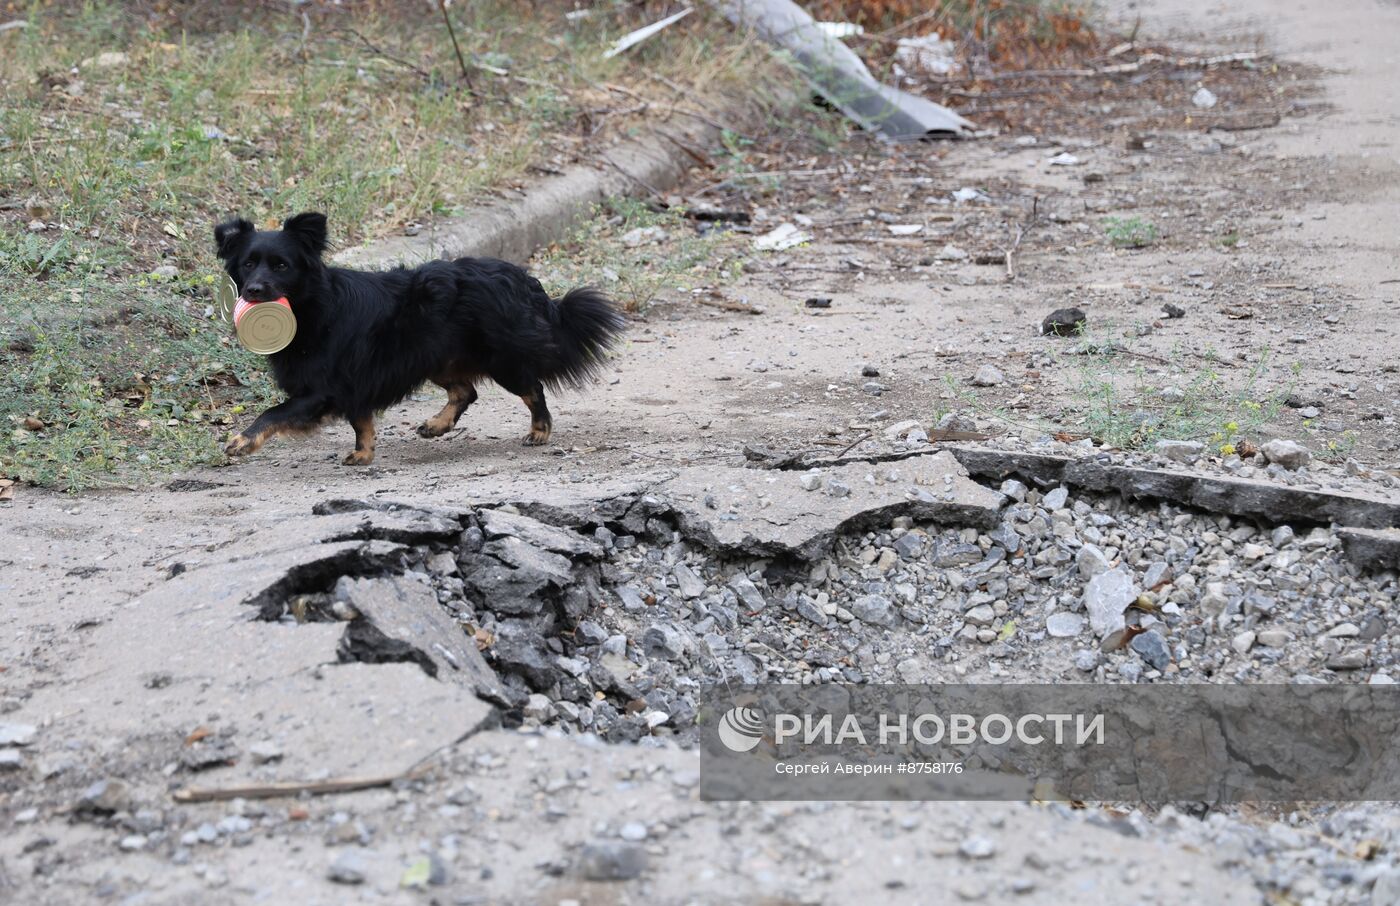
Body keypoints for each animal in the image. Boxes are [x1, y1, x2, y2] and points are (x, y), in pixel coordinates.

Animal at [215, 215, 627, 464]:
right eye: (248, 264)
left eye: (281, 266)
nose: (253, 290)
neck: (311, 307)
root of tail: (523, 280)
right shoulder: (355, 382)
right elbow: (362, 421)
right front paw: (363, 455)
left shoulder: (320, 390)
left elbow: (274, 412)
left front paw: (241, 440)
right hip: (435, 356)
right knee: (466, 391)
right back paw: (437, 425)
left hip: (500, 358)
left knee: (532, 388)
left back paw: (539, 430)